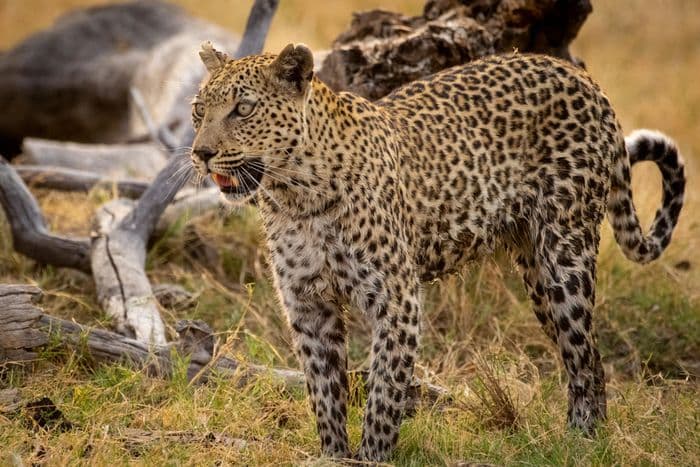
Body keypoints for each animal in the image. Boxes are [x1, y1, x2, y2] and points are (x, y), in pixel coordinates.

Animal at [189, 42, 686, 461]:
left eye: (243, 108)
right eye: (198, 110)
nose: (201, 153)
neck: (295, 197)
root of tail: (582, 77)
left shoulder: (397, 297)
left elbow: (385, 389)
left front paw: (372, 457)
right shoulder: (307, 302)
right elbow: (323, 390)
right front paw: (333, 455)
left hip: (565, 257)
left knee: (583, 356)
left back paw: (581, 444)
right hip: (538, 276)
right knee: (587, 357)